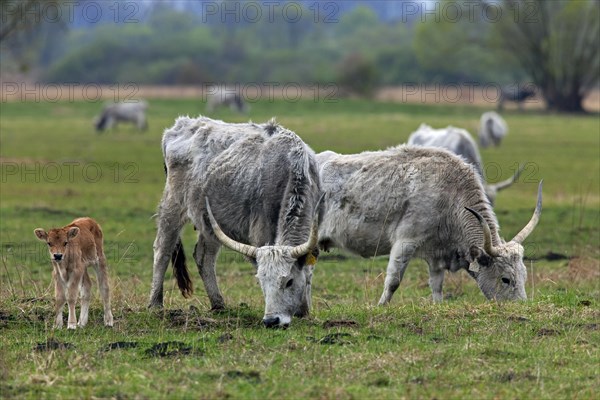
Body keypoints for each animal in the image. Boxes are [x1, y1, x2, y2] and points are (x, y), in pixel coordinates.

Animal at [149, 115, 324, 328]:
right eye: (261, 281)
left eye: (289, 281)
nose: (271, 321)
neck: (293, 167)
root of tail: (179, 126)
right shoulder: (261, 231)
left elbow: (308, 272)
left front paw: (304, 310)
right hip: (172, 206)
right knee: (163, 249)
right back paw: (155, 303)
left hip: (209, 223)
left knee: (203, 257)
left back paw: (218, 304)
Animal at [318, 146, 544, 304]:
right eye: (506, 279)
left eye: (524, 275)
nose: (520, 305)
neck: (451, 197)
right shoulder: (405, 242)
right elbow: (393, 281)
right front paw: (380, 306)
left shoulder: (436, 255)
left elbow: (437, 286)